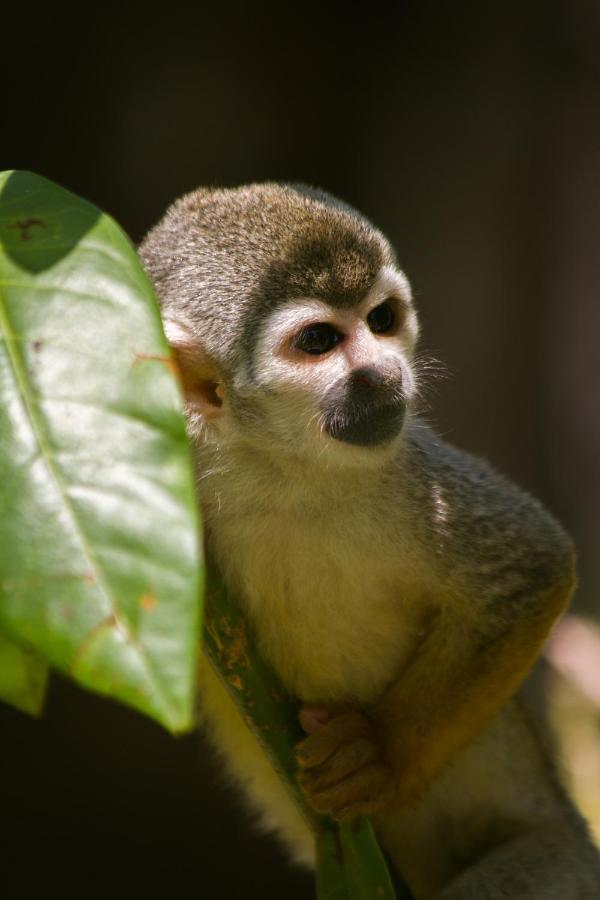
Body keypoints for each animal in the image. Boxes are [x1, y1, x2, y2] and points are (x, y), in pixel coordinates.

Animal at [141, 186, 600, 896]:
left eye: (382, 321)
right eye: (319, 341)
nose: (383, 374)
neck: (274, 470)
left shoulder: (406, 472)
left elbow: (533, 564)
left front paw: (376, 757)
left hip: (562, 855)